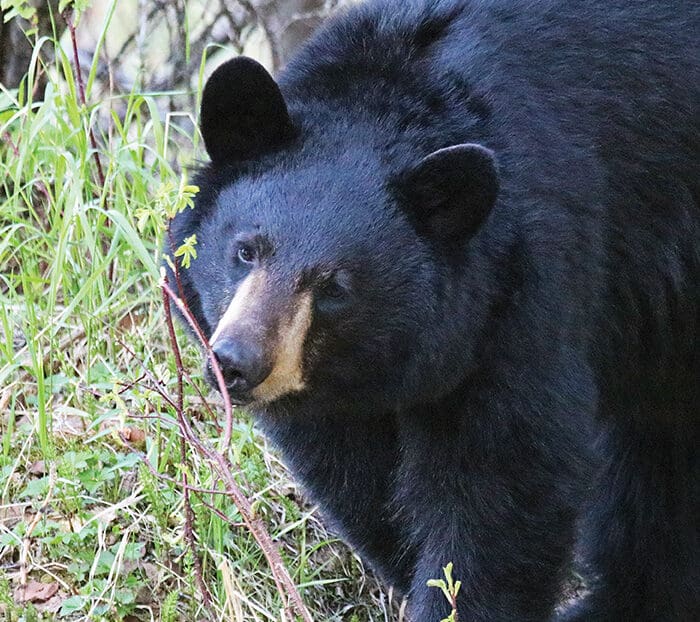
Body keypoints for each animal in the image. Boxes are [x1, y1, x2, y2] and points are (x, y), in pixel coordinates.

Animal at [167, 0, 699, 620]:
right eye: (245, 250)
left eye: (334, 287)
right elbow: (357, 478)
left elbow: (503, 481)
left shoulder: (525, 294)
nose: (236, 362)